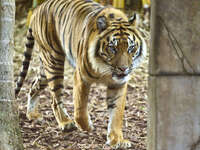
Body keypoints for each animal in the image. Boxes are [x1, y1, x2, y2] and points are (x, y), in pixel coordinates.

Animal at [15, 0, 147, 148]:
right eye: (112, 48)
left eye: (131, 48)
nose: (124, 69)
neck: (105, 70)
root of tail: (37, 9)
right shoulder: (81, 77)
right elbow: (80, 108)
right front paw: (88, 127)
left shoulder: (118, 84)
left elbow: (116, 113)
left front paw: (117, 140)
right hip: (54, 60)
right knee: (55, 98)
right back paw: (66, 123)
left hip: (45, 67)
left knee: (33, 86)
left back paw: (32, 114)